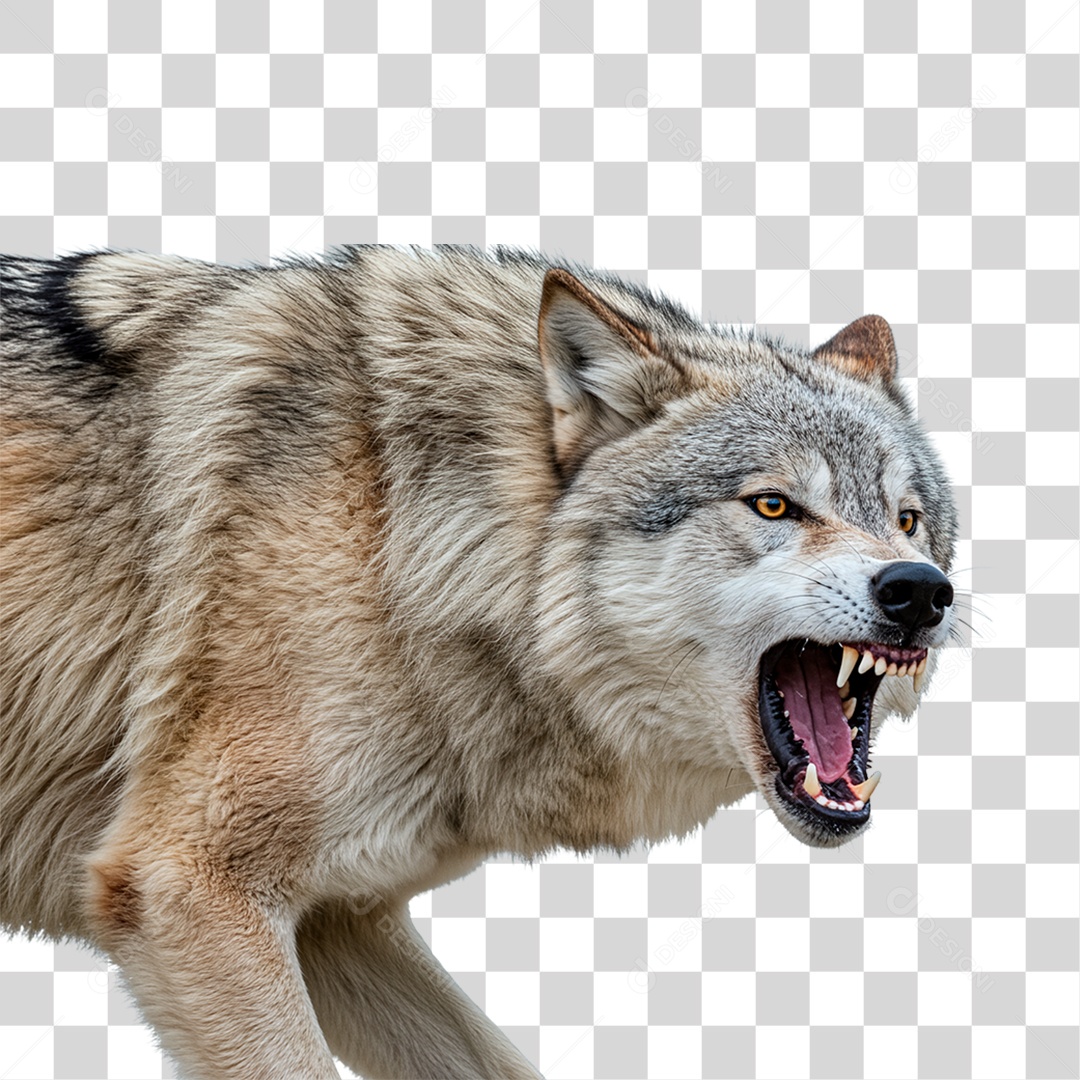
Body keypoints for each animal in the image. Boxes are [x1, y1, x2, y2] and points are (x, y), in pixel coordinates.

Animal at [0, 245, 957, 1079]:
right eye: (774, 505)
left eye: (906, 519)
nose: (920, 591)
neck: (398, 529)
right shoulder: (188, 887)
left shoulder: (340, 920)